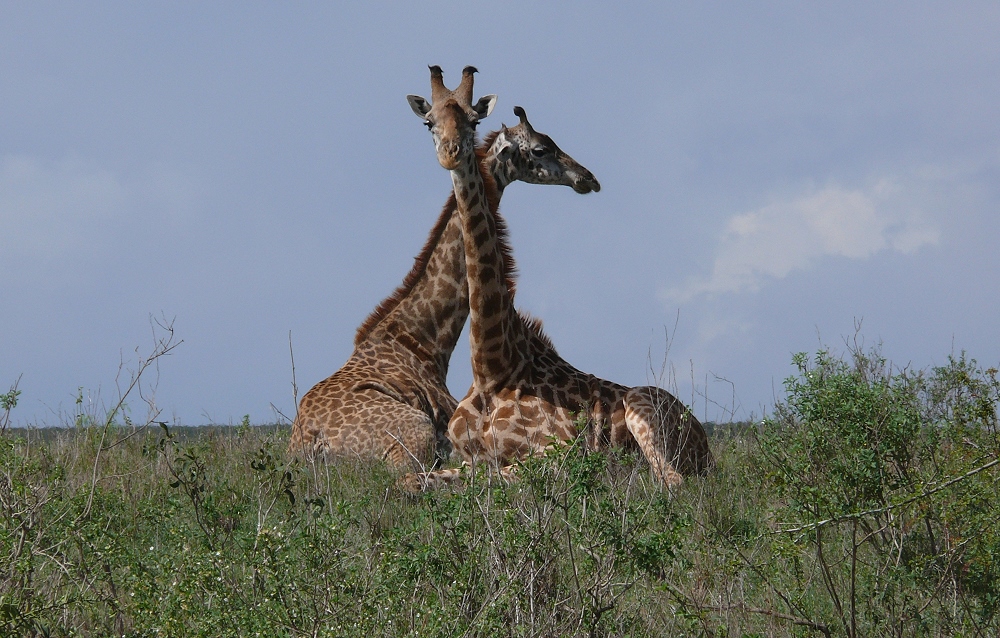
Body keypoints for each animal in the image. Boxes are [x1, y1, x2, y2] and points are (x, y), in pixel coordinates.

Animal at [402, 65, 716, 492]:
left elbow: (500, 477)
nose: (588, 177)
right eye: (429, 122)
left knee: (670, 480)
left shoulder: (557, 455)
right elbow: (414, 479)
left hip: (641, 404)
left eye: (473, 120)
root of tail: (708, 449)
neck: (492, 367)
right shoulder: (461, 458)